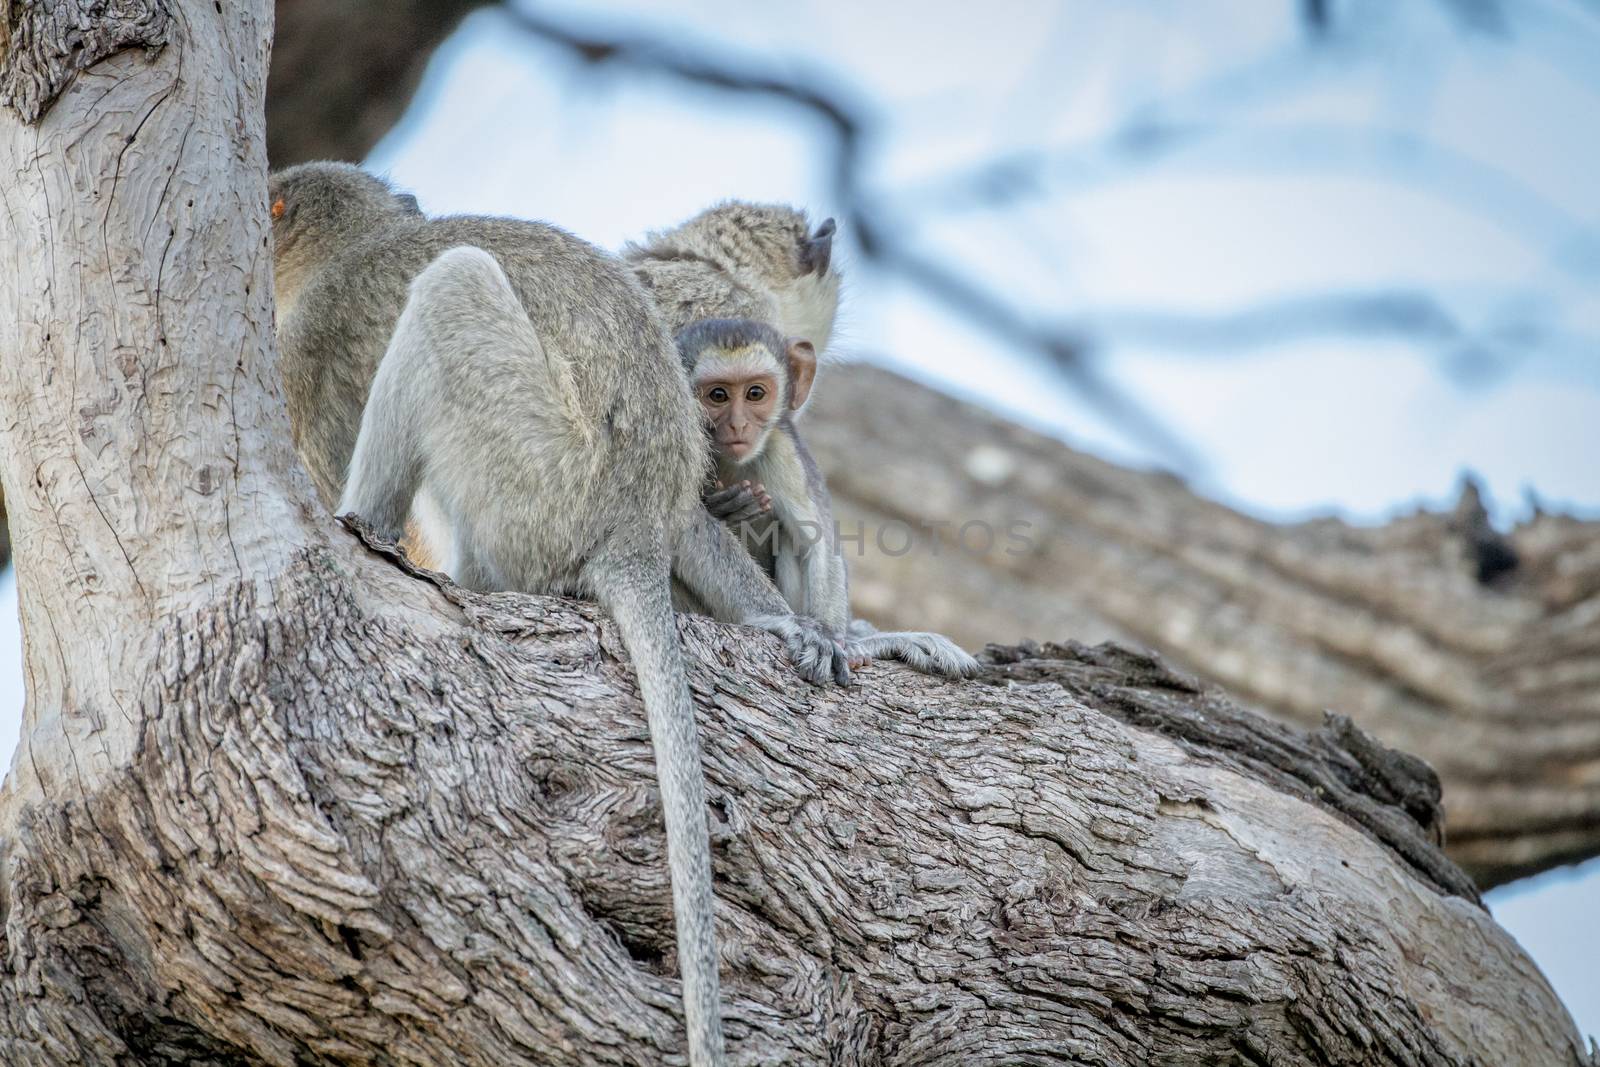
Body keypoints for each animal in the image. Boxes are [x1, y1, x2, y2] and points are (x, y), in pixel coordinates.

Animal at [675, 321, 972, 681]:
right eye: (717, 395)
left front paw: (836, 640)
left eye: (755, 393)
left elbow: (818, 543)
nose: (738, 425)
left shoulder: (783, 450)